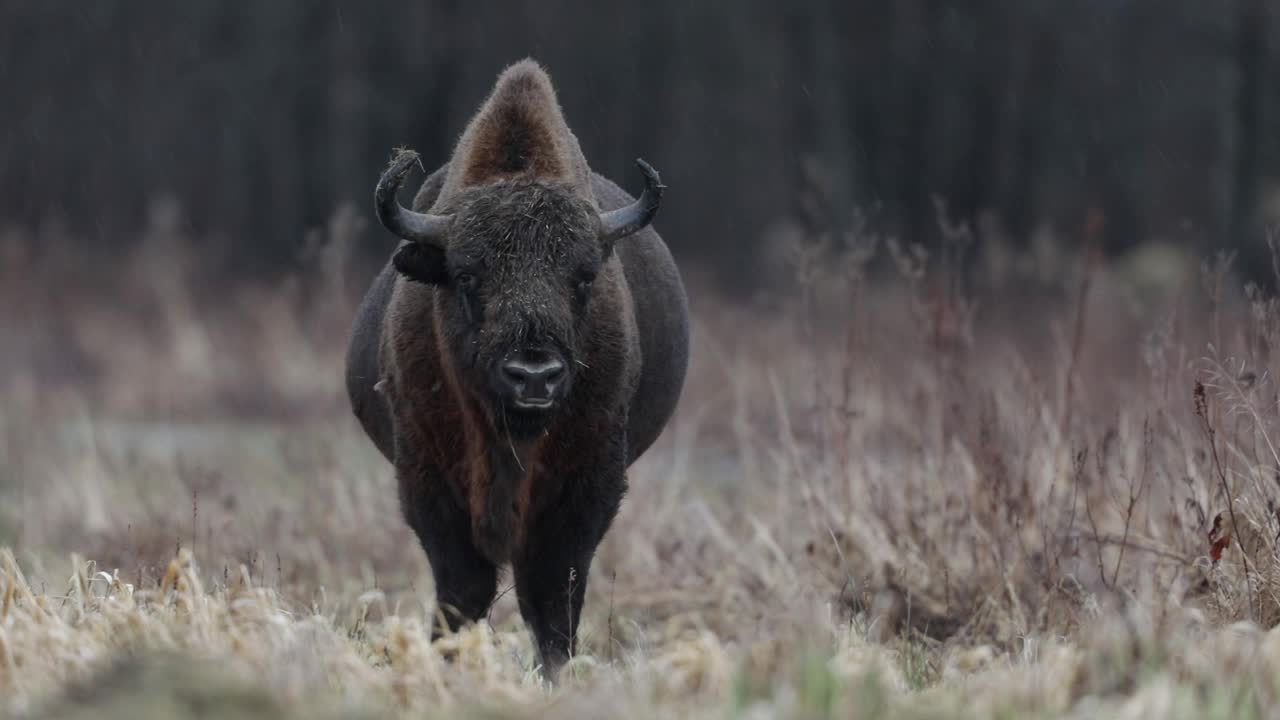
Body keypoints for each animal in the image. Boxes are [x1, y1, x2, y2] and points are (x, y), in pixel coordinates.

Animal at [343, 57, 691, 676]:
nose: (534, 376)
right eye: (467, 276)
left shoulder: (584, 490)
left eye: (583, 277)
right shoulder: (429, 483)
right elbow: (462, 590)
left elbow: (551, 597)